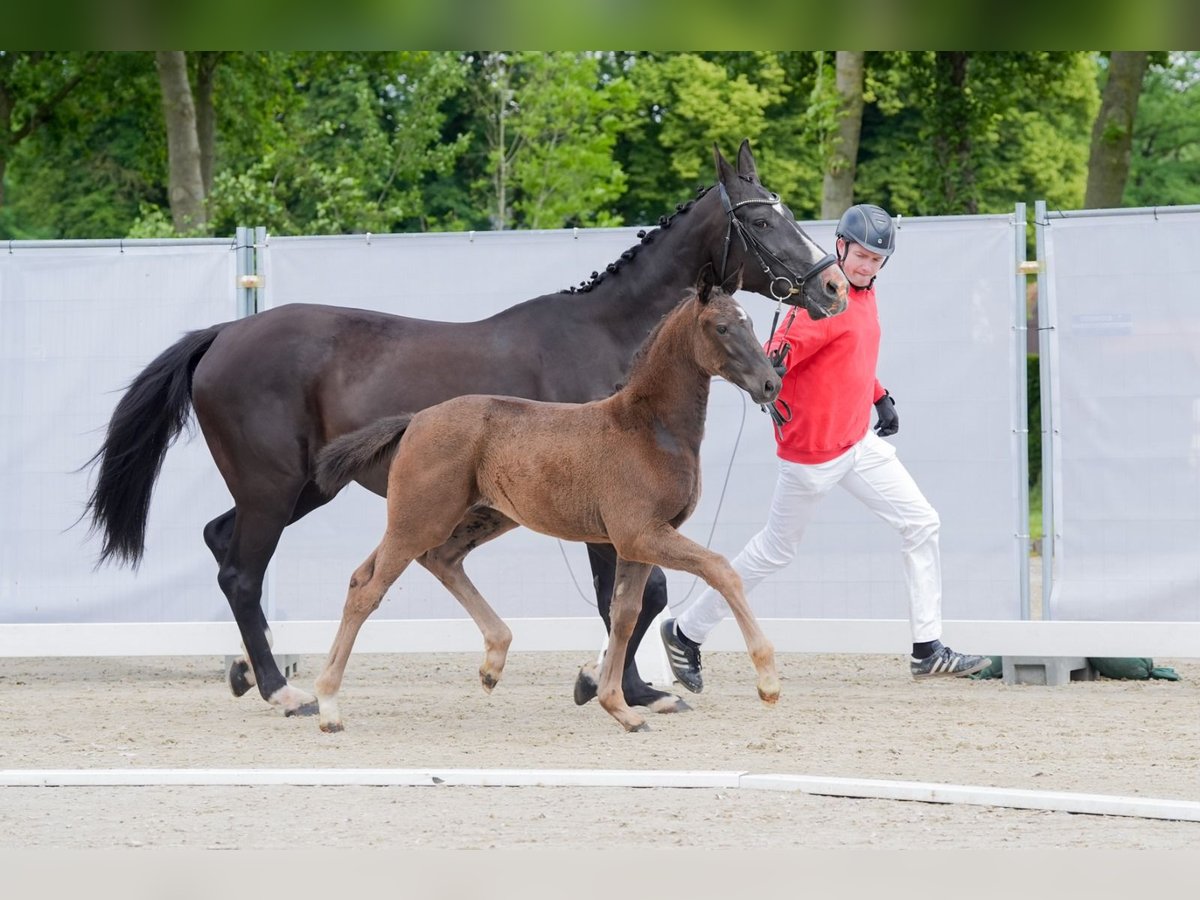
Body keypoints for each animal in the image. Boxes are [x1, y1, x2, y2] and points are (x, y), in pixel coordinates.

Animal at [312, 270, 777, 734]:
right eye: (722, 327)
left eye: (752, 322)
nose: (770, 383)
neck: (649, 429)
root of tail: (415, 420)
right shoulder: (641, 534)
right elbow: (720, 569)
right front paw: (768, 682)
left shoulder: (636, 543)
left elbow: (625, 613)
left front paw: (618, 707)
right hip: (420, 519)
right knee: (370, 589)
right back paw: (329, 705)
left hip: (475, 517)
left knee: (428, 562)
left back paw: (493, 663)